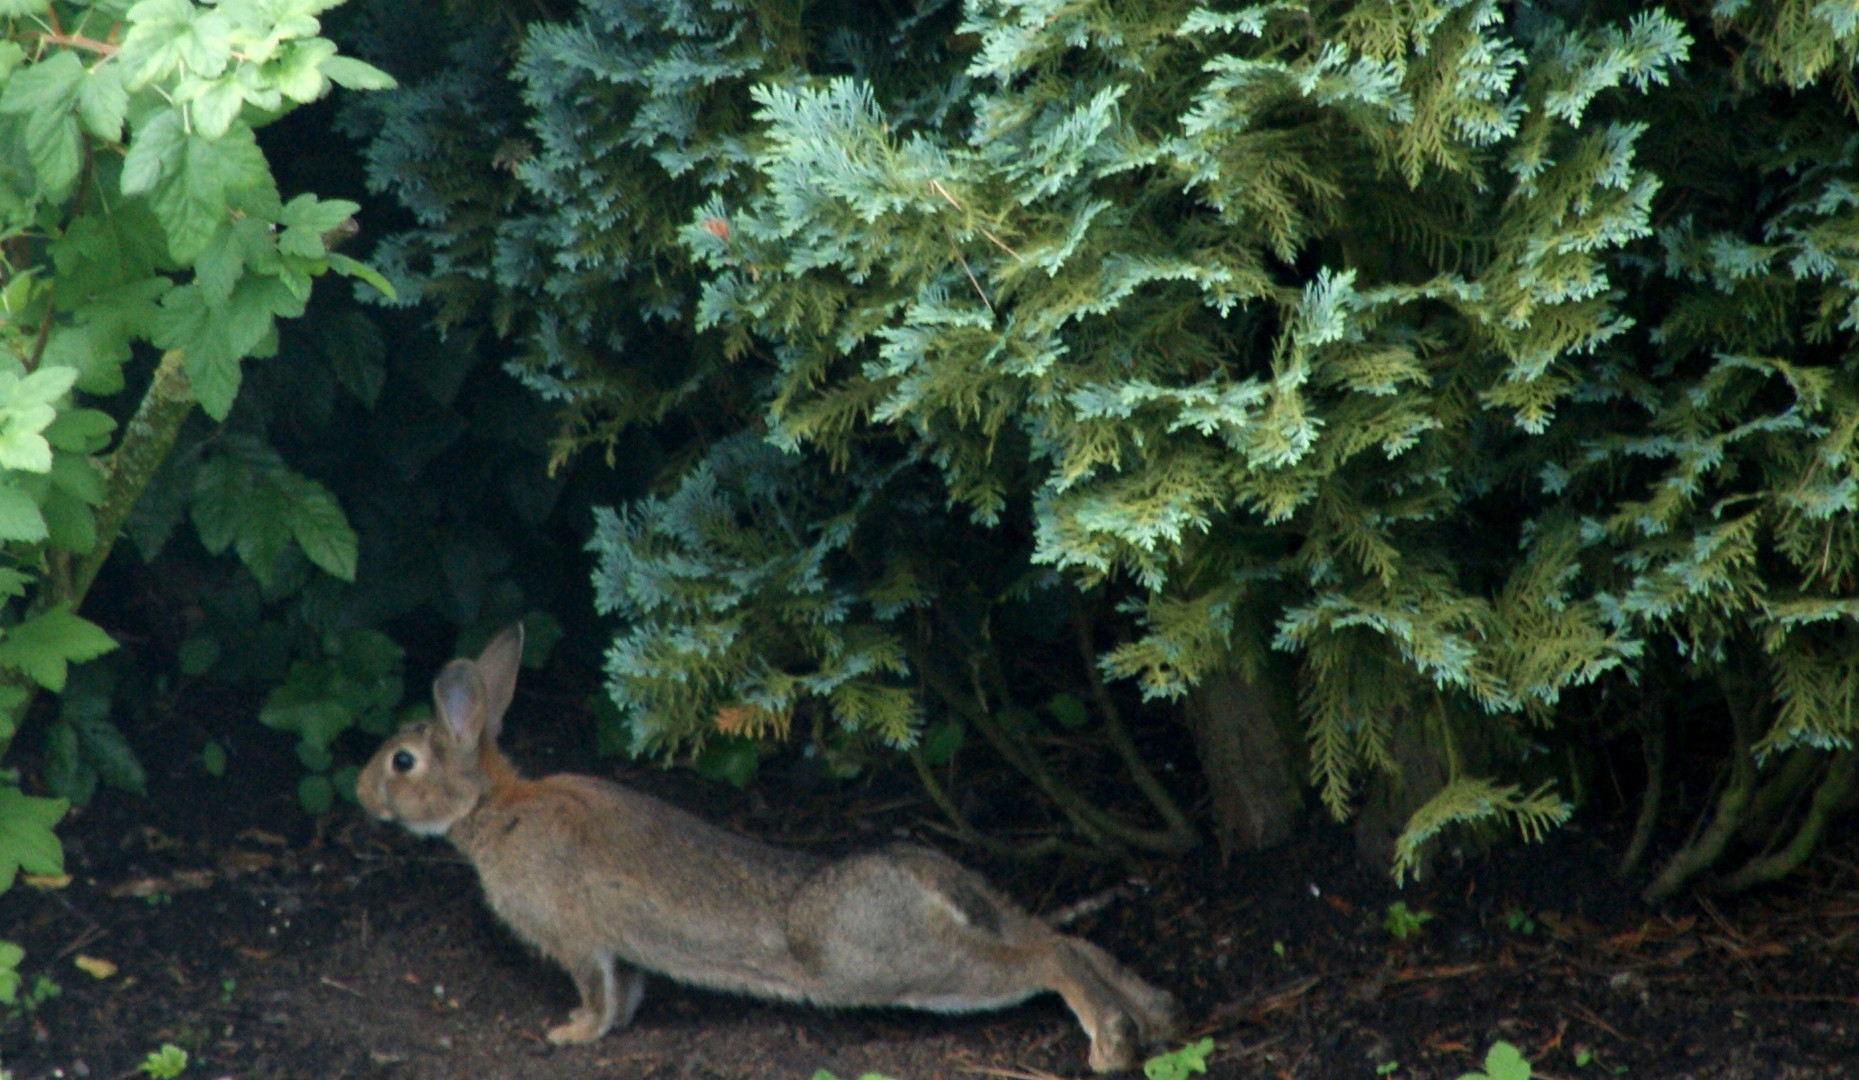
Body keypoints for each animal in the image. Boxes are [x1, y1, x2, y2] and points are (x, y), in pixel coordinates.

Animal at [355, 624, 1182, 1070]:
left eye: (403, 762)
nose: (361, 793)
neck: (491, 807)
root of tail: (931, 885)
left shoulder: (576, 938)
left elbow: (596, 989)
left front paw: (572, 1034)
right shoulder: (617, 946)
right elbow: (627, 987)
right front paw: (611, 1027)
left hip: (888, 963)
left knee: (1046, 958)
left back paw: (1110, 1044)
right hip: (962, 924)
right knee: (1066, 938)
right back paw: (1155, 1013)